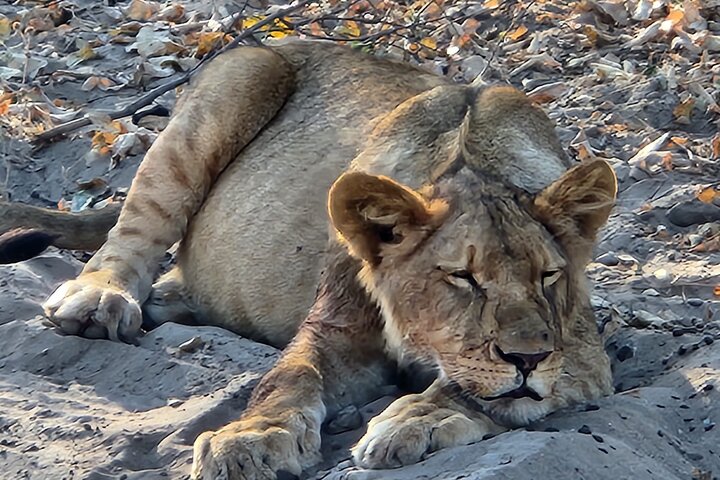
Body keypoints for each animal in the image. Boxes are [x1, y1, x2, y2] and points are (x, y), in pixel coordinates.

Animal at [0, 40, 616, 479]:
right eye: (463, 278)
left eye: (549, 275)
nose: (528, 359)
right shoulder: (332, 329)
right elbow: (287, 379)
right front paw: (248, 440)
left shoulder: (580, 350)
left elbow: (471, 387)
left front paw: (420, 416)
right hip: (237, 80)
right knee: (133, 232)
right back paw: (98, 299)